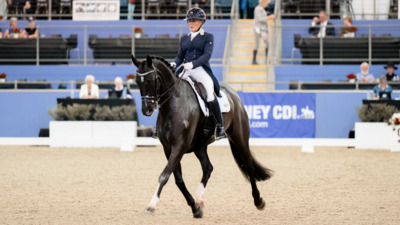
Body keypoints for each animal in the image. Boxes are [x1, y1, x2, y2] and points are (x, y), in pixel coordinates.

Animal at [131, 55, 272, 218]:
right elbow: (178, 179)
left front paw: (152, 205)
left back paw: (258, 200)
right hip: (200, 145)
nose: (147, 110)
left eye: (152, 79)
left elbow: (164, 175)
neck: (174, 103)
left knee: (248, 166)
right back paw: (199, 200)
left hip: (240, 138)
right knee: (208, 168)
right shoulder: (168, 148)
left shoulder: (180, 146)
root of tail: (233, 94)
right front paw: (195, 208)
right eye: (137, 81)